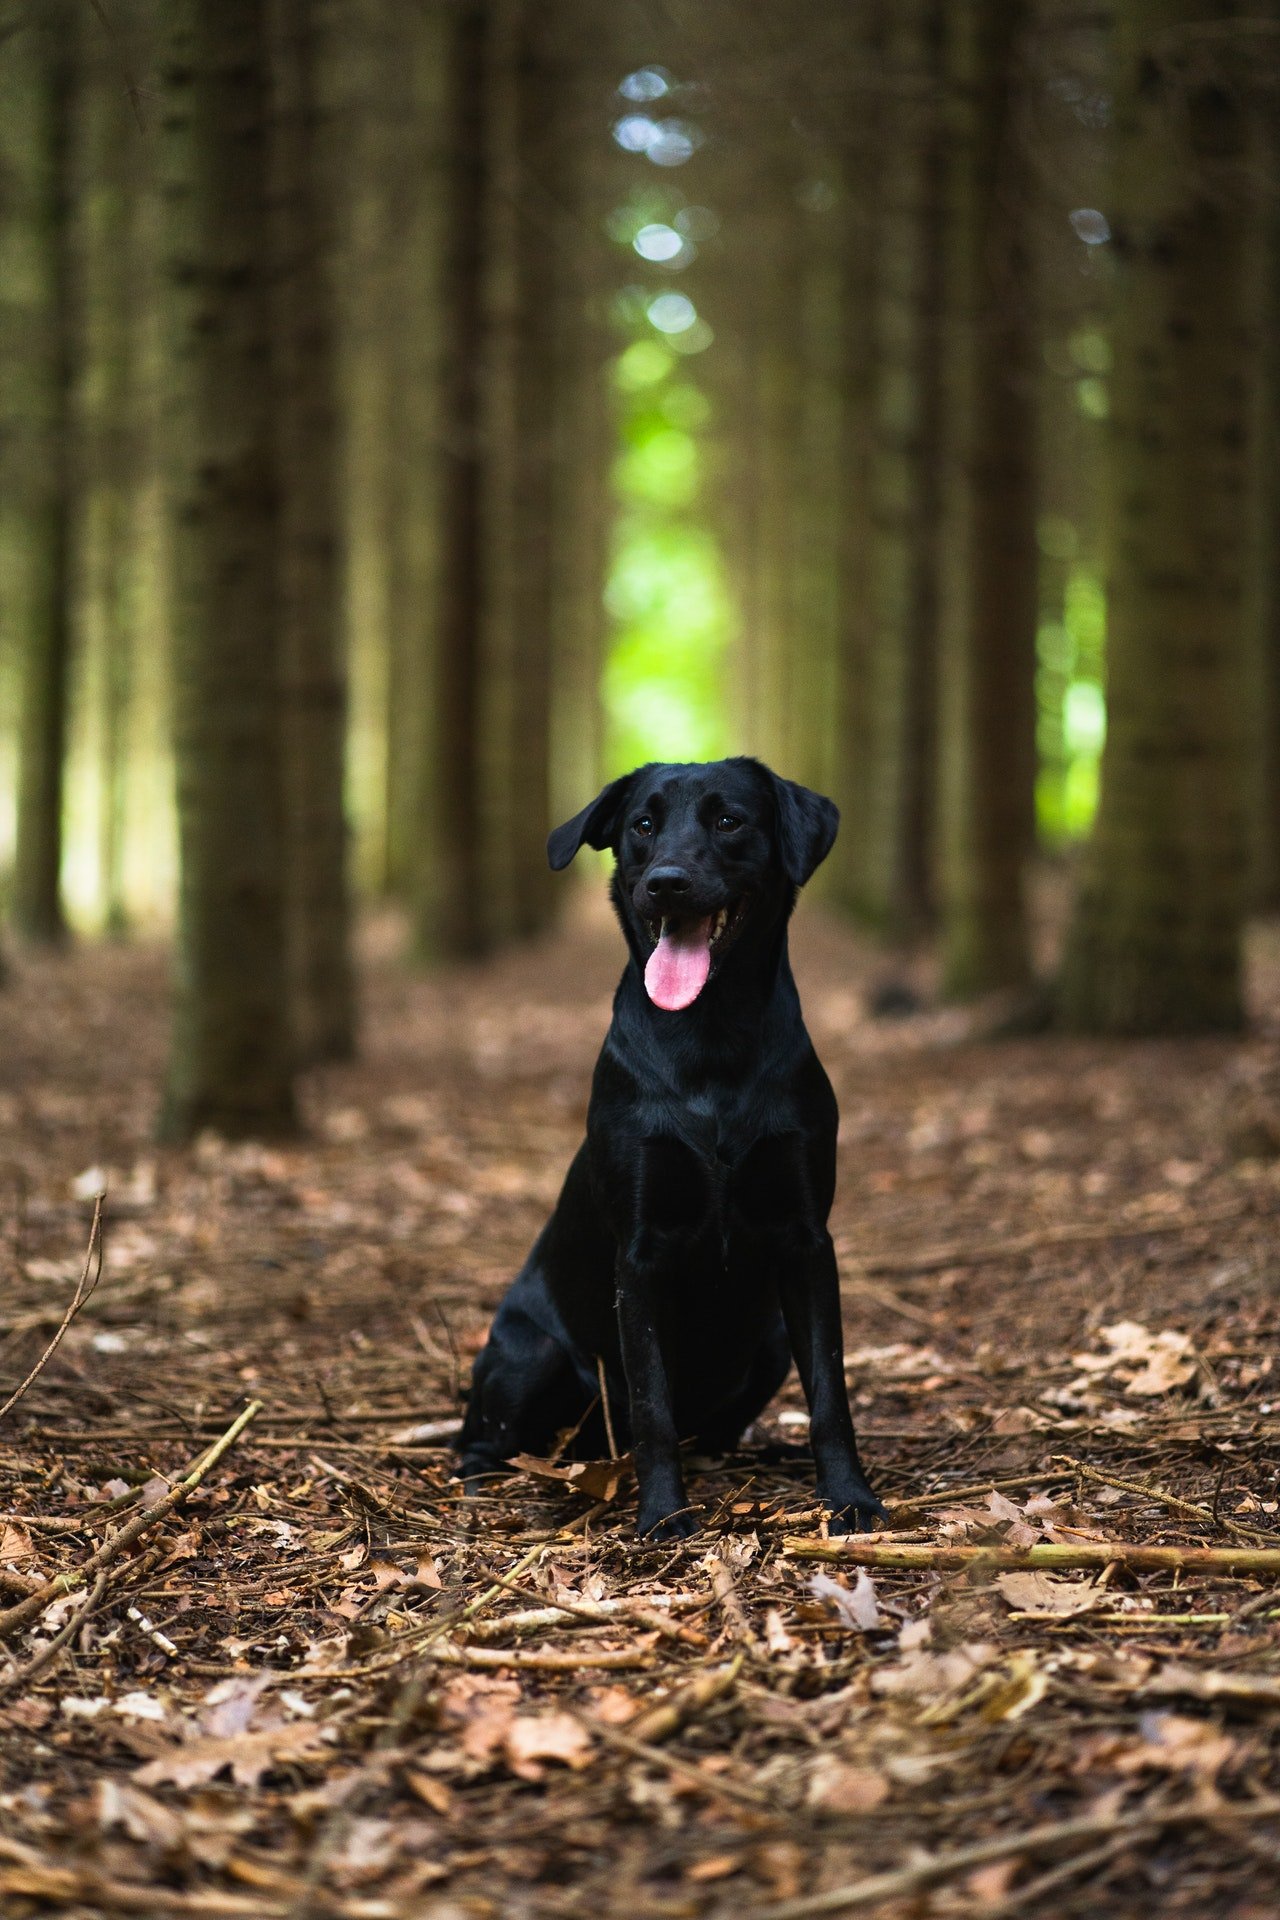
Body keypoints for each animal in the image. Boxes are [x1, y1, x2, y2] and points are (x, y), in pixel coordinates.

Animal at [454, 756, 886, 1536]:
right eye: (643, 825)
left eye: (729, 820)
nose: (667, 881)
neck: (710, 1037)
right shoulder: (640, 1252)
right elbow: (652, 1405)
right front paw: (661, 1516)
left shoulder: (807, 1240)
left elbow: (830, 1393)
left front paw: (849, 1496)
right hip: (531, 1354)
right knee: (481, 1440)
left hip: (768, 1342)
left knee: (711, 1431)